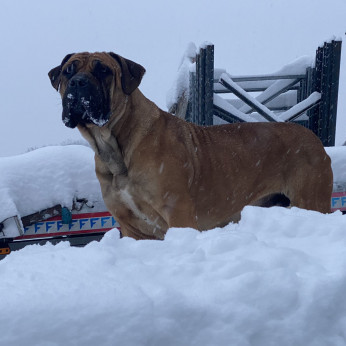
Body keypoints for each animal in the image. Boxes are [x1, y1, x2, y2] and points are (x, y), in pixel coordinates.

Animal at [48, 52, 332, 241]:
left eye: (103, 70)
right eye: (68, 71)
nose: (78, 82)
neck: (113, 143)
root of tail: (315, 140)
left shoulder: (179, 213)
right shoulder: (132, 228)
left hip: (311, 199)